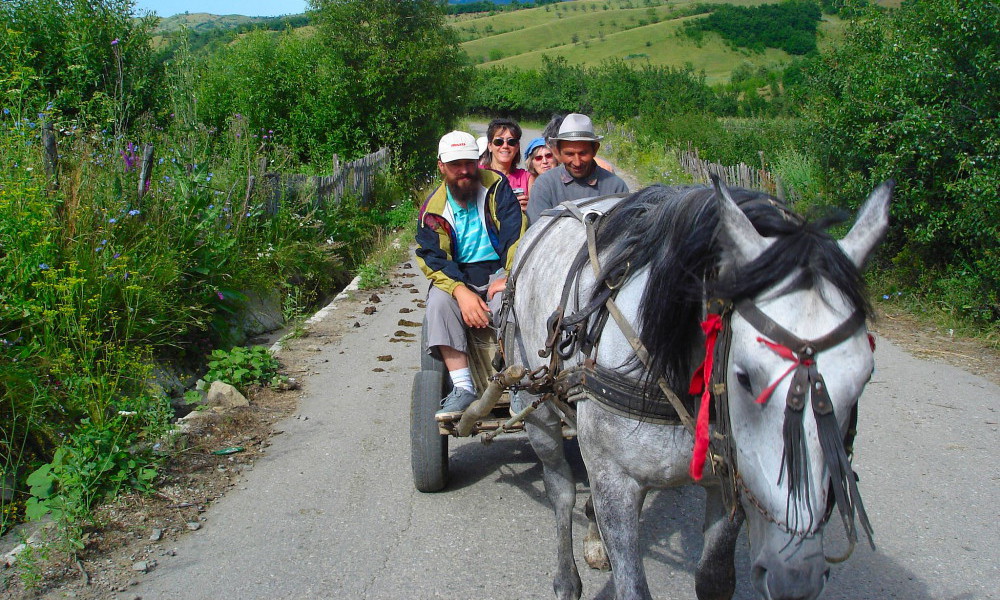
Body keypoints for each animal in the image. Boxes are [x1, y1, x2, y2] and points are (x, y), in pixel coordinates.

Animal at [508, 182, 892, 600]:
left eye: (865, 377)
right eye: (745, 377)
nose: (795, 578)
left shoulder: (729, 480)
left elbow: (714, 578)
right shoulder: (616, 482)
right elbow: (631, 585)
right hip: (536, 407)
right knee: (560, 490)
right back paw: (567, 578)